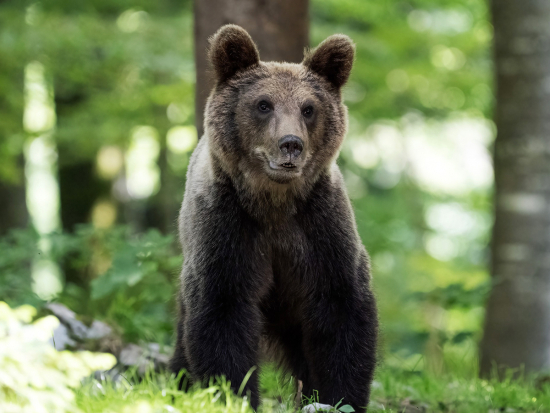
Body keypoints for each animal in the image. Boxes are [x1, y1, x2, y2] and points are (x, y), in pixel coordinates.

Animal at [172, 24, 380, 410]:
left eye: (308, 108)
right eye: (263, 104)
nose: (291, 144)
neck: (275, 204)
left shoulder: (321, 229)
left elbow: (342, 309)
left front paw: (340, 396)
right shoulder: (227, 229)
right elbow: (222, 312)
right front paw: (233, 393)